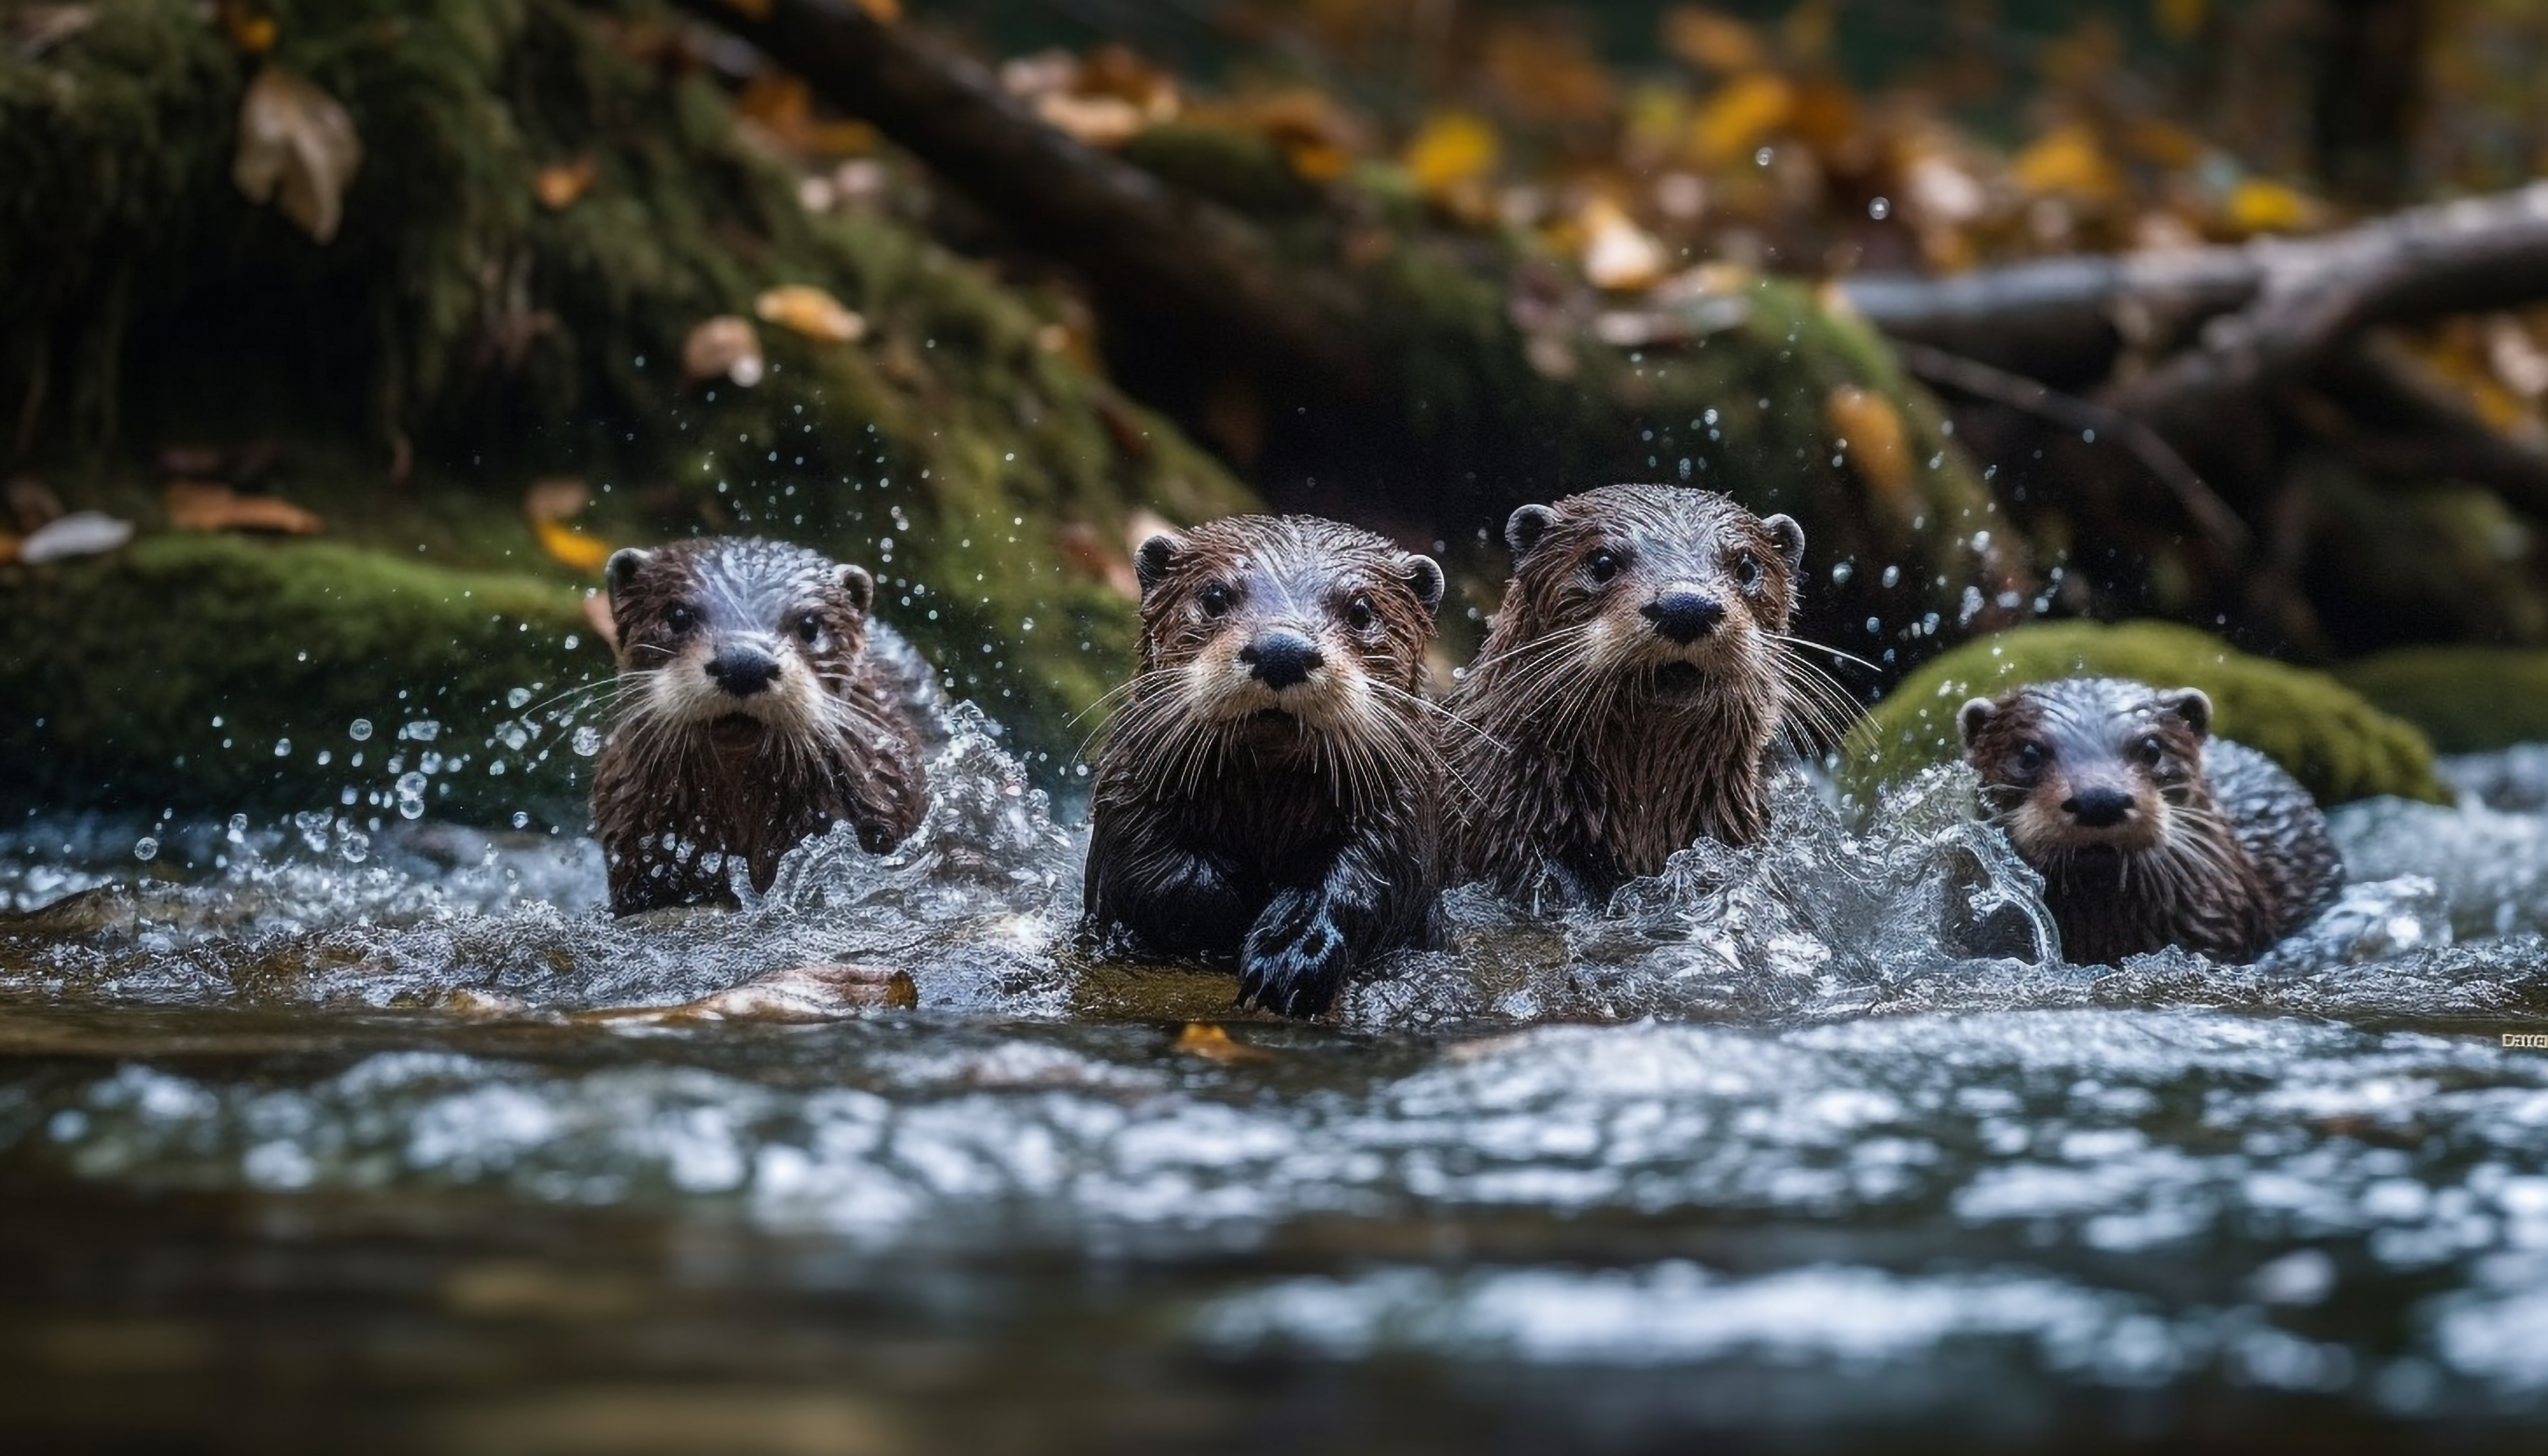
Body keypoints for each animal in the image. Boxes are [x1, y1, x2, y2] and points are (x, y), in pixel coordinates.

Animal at [1080, 517, 1457, 1020]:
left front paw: (1292, 950)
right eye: (1214, 596)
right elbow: (1150, 871)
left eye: (1361, 610)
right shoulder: (1128, 792)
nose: (1282, 650)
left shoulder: (1402, 815)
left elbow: (1369, 880)